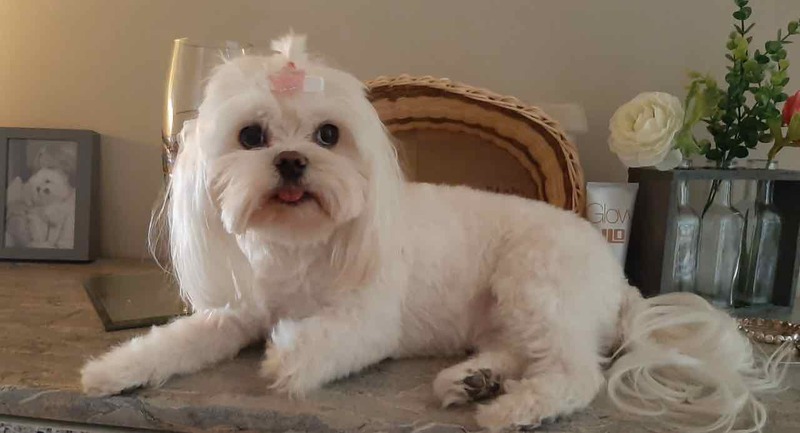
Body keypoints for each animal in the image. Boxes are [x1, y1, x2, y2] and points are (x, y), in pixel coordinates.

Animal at [81, 34, 788, 432]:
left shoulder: (367, 324)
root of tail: (620, 284)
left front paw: (287, 358)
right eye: (251, 136)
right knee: (520, 351)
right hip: (510, 310)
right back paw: (474, 380)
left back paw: (511, 408)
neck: (300, 246)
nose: (291, 161)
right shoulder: (236, 311)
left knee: (575, 371)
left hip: (534, 280)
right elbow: (178, 340)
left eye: (328, 135)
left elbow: (315, 343)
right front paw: (116, 369)